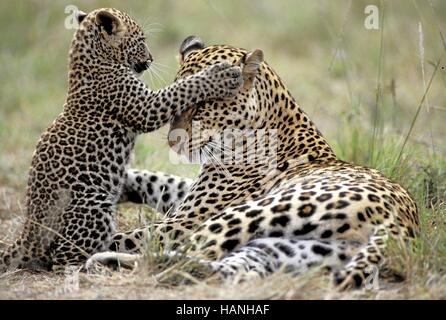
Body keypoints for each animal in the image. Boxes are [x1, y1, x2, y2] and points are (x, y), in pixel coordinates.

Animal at [0, 12, 244, 272]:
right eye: (141, 41)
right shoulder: (144, 106)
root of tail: (29, 233)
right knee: (62, 259)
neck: (91, 58)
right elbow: (180, 90)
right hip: (93, 207)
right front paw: (220, 75)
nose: (151, 58)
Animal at [87, 36, 418, 288]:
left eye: (203, 105)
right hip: (288, 250)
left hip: (255, 211)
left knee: (179, 253)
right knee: (216, 267)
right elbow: (159, 180)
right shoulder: (189, 195)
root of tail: (402, 225)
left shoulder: (185, 220)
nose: (172, 141)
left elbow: (136, 234)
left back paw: (101, 259)